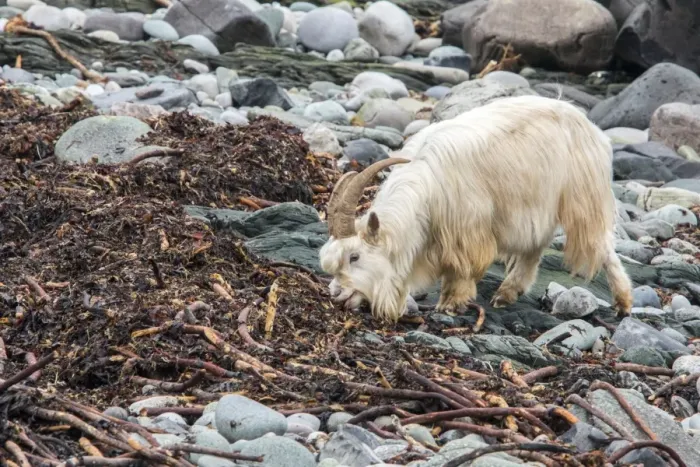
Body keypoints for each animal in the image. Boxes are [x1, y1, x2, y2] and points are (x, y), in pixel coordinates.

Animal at [319, 94, 633, 323]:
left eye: (355, 257)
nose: (336, 294)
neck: (426, 181)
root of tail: (589, 126)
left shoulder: (467, 230)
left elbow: (463, 267)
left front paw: (450, 303)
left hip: (583, 197)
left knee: (601, 244)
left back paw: (623, 303)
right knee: (535, 248)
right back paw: (507, 294)